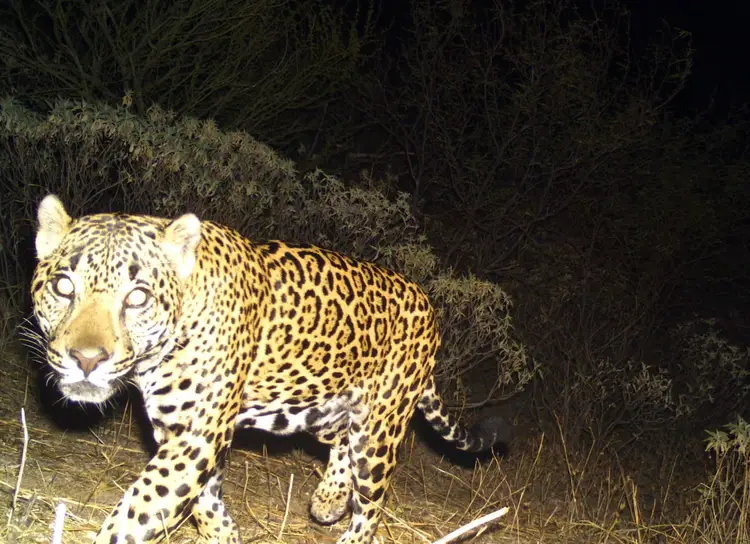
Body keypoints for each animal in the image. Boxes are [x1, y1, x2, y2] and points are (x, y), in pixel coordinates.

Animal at [31, 194, 511, 544]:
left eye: (137, 297)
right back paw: (328, 500)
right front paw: (226, 536)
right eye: (63, 286)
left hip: (380, 427)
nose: (87, 360)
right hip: (324, 407)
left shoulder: (195, 435)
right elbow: (203, 503)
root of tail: (425, 300)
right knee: (341, 445)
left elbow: (140, 508)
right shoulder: (182, 432)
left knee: (371, 505)